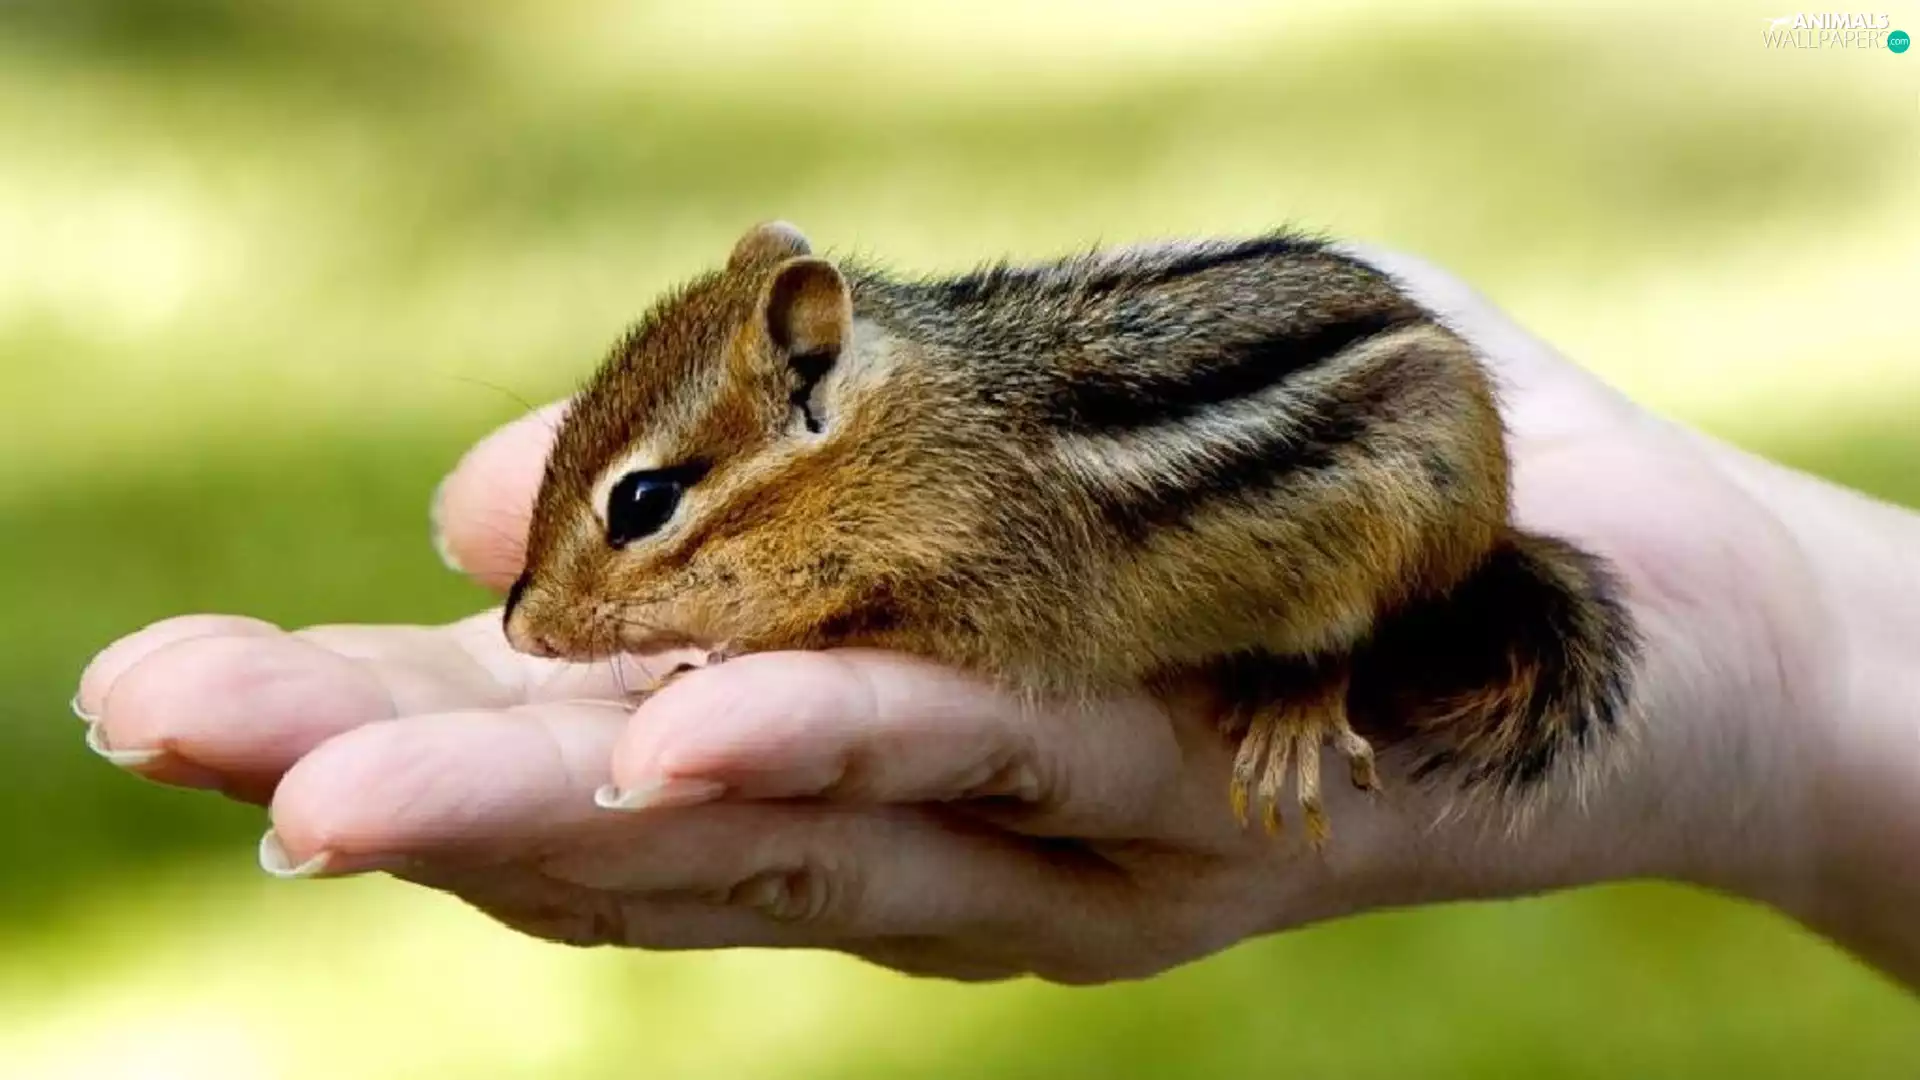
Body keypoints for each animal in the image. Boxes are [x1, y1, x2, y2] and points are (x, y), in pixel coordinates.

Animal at [502, 222, 1639, 842]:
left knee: (1348, 637)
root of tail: (1488, 532)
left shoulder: (973, 578)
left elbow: (845, 622)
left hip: (1388, 537)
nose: (520, 626)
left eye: (642, 502)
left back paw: (1295, 714)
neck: (905, 436)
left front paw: (714, 658)